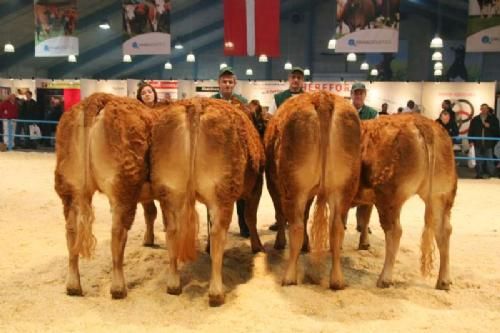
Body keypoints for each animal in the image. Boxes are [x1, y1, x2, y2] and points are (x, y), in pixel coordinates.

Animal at [54, 93, 158, 298]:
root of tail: (98, 98)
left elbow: (151, 212)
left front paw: (149, 239)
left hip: (68, 188)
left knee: (71, 232)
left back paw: (73, 286)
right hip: (124, 189)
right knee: (117, 234)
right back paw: (118, 288)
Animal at [149, 97, 264, 304]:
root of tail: (196, 104)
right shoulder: (256, 186)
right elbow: (251, 217)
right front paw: (257, 246)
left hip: (168, 193)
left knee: (172, 231)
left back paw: (173, 285)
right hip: (222, 194)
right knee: (219, 234)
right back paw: (216, 293)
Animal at [266, 91, 360, 288]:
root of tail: (322, 97)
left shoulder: (272, 184)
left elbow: (281, 215)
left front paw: (280, 242)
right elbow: (306, 214)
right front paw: (306, 245)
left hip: (294, 187)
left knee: (296, 226)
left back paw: (289, 277)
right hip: (343, 188)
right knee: (336, 229)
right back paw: (337, 280)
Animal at [352, 113, 458, 290]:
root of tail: (422, 122)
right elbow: (363, 216)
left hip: (389, 198)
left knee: (394, 231)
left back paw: (385, 278)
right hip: (441, 195)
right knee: (444, 230)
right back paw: (444, 281)